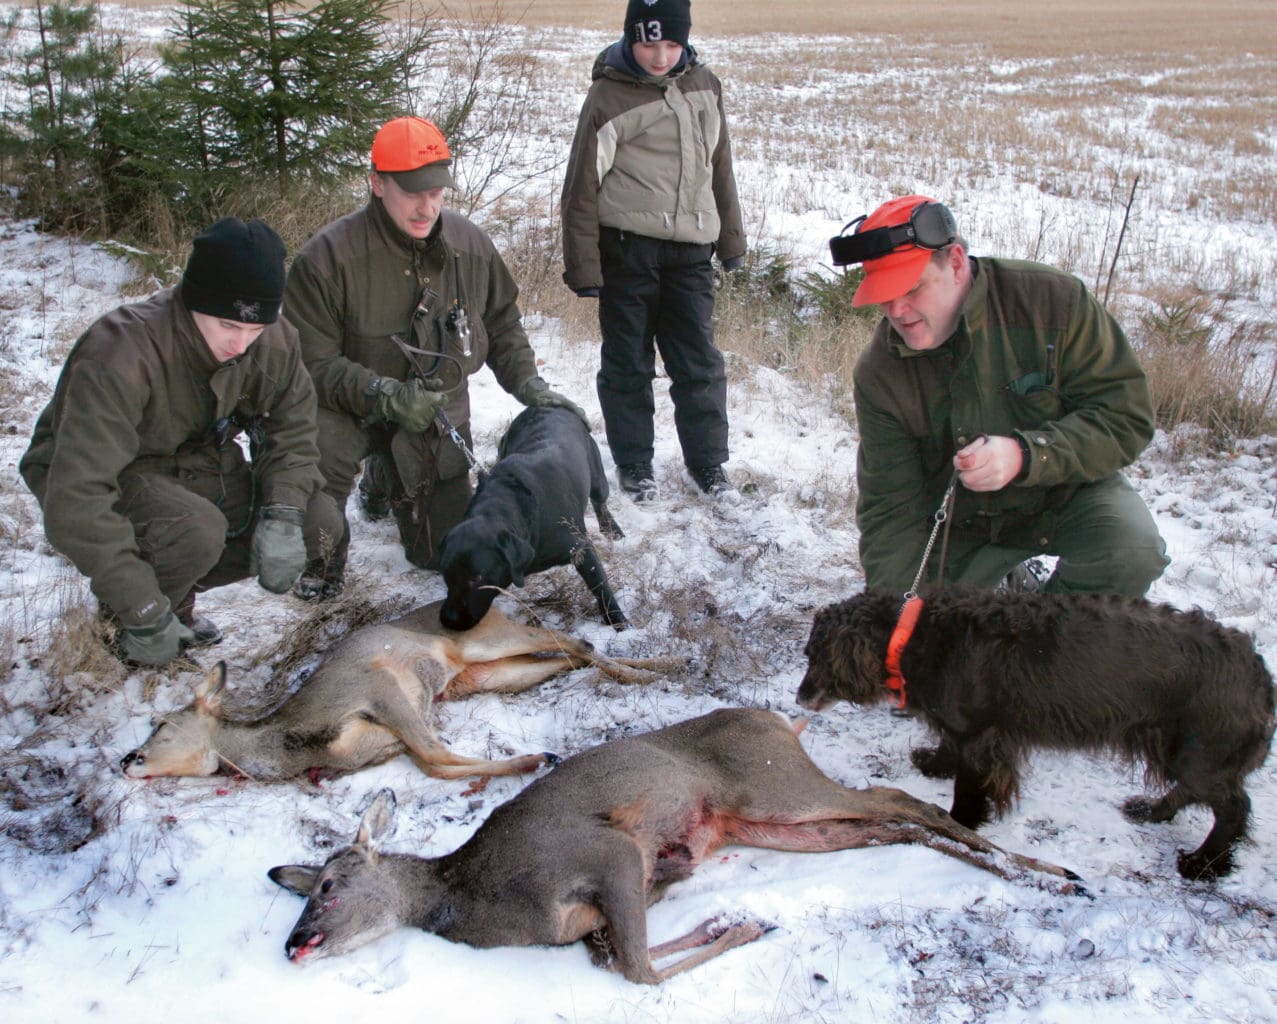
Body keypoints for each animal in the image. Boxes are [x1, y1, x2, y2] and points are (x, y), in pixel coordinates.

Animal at [120, 597, 684, 781]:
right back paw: (664, 665)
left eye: (161, 724)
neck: (291, 742)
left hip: (486, 642)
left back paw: (654, 671)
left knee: (575, 638)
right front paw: (531, 760)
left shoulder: (378, 687)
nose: (127, 760)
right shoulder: (389, 742)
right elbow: (435, 762)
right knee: (572, 654)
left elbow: (437, 754)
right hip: (479, 676)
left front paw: (536, 759)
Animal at [266, 704, 1077, 980]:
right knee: (889, 823)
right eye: (302, 893)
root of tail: (778, 717)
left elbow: (639, 974)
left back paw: (1053, 873)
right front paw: (729, 921)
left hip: (775, 787)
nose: (294, 943)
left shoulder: (606, 852)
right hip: (774, 825)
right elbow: (617, 956)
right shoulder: (603, 909)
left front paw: (743, 926)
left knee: (899, 799)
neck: (468, 895)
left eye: (330, 885)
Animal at [439, 406, 628, 630]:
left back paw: (612, 529)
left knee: (600, 502)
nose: (449, 619)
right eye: (445, 573)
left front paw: (618, 622)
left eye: (477, 578)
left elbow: (600, 586)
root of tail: (542, 405)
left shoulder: (581, 548)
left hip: (597, 478)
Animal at [791, 582, 1271, 878]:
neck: (913, 635)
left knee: (1235, 806)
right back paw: (1151, 811)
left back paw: (1204, 863)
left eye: (816, 657)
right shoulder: (964, 728)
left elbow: (969, 783)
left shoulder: (981, 734)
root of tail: (1259, 671)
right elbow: (948, 744)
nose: (799, 698)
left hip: (1198, 752)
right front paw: (934, 763)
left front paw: (961, 820)